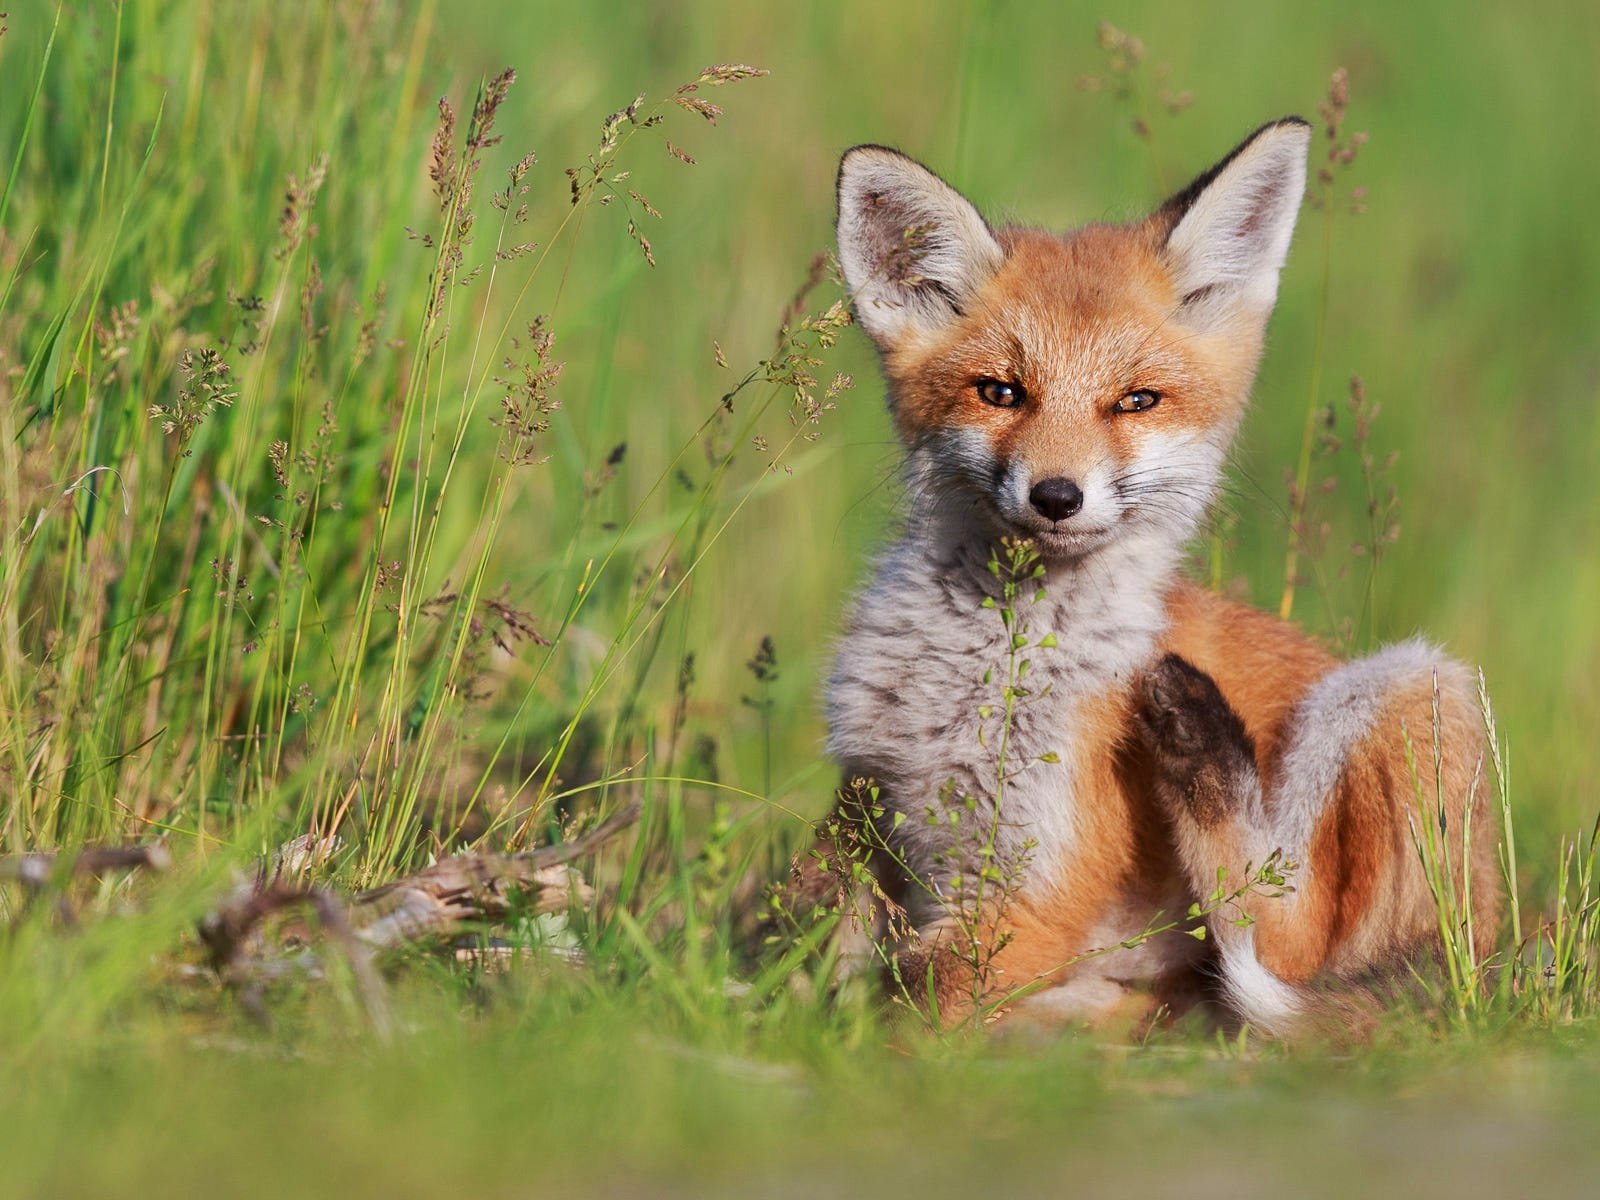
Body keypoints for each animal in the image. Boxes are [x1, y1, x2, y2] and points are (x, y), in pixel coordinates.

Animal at [819, 122, 1504, 1036]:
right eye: (1000, 392)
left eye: (1136, 401)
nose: (1057, 496)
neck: (977, 681)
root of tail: (1495, 950)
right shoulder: (868, 807)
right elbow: (815, 954)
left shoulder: (1043, 887)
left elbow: (911, 1006)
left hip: (1412, 690)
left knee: (1284, 940)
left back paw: (1207, 753)